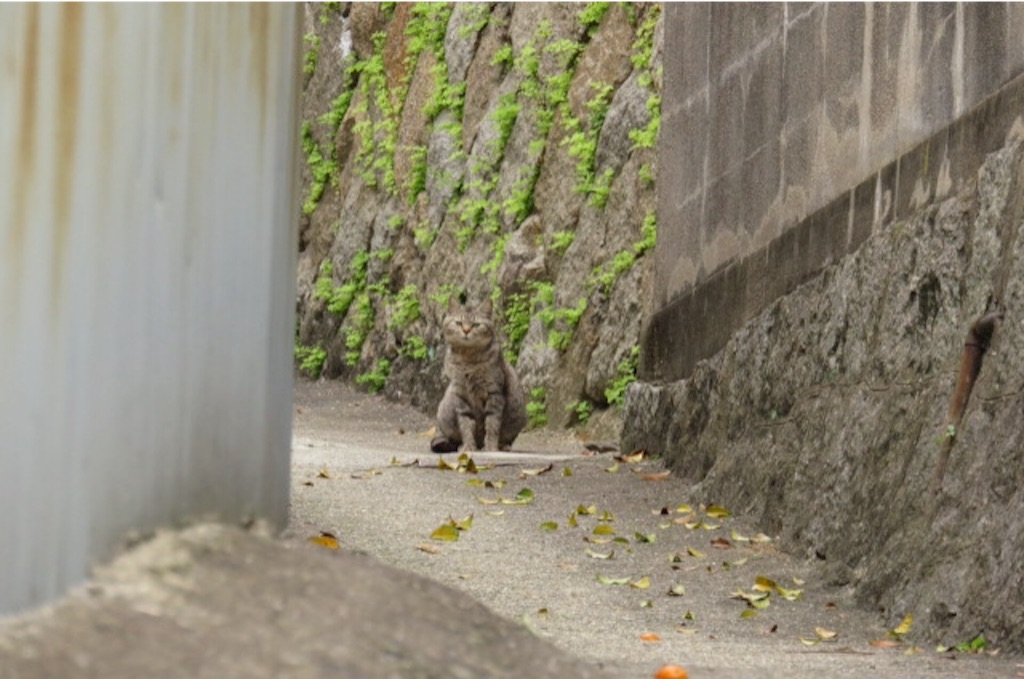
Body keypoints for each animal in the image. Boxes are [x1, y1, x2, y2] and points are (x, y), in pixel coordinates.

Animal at [430, 299, 528, 454]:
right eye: (459, 323)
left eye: (476, 324)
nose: (466, 330)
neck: (468, 360)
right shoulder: (461, 395)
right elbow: (466, 426)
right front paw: (469, 447)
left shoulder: (494, 394)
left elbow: (492, 424)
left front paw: (491, 448)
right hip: (445, 410)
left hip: (519, 415)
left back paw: (502, 446)